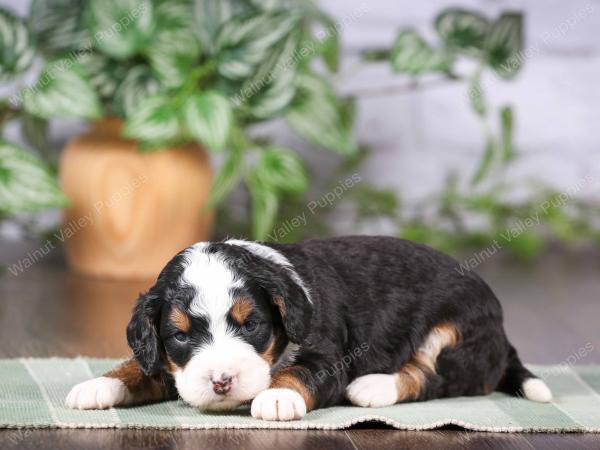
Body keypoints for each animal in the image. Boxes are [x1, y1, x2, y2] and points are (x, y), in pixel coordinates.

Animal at [67, 234, 552, 420]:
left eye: (252, 324)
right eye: (180, 335)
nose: (222, 382)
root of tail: (502, 332)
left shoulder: (328, 354)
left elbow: (299, 372)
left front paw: (277, 396)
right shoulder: (171, 363)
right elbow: (140, 366)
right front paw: (98, 384)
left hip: (457, 332)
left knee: (433, 376)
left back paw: (374, 387)